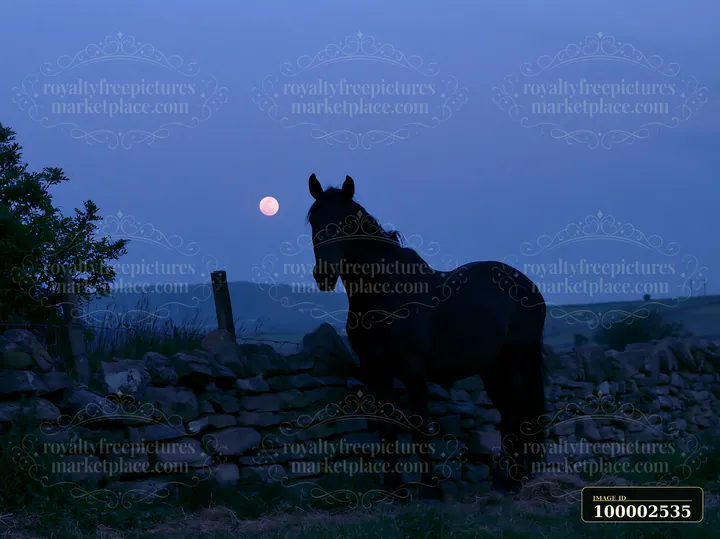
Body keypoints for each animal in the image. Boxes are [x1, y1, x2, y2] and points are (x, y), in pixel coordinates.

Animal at [306, 173, 547, 498]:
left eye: (348, 222)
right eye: (313, 220)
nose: (324, 274)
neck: (384, 294)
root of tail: (530, 288)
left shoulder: (413, 370)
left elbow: (420, 426)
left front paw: (431, 487)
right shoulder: (375, 371)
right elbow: (387, 428)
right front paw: (394, 489)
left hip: (516, 365)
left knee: (517, 417)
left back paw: (509, 481)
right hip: (492, 370)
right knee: (510, 417)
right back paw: (506, 481)